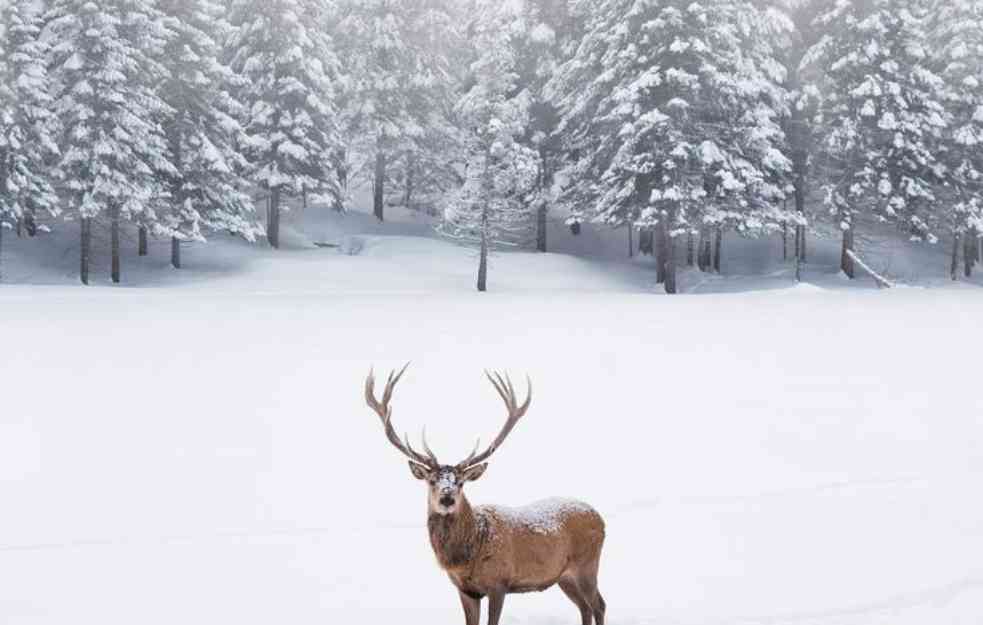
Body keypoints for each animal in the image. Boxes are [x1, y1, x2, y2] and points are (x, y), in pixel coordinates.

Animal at [364, 364, 608, 624]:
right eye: (432, 481)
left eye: (461, 483)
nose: (447, 498)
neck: (466, 556)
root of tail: (600, 518)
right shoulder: (465, 590)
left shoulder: (498, 583)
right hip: (564, 576)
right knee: (584, 607)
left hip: (587, 564)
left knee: (598, 605)